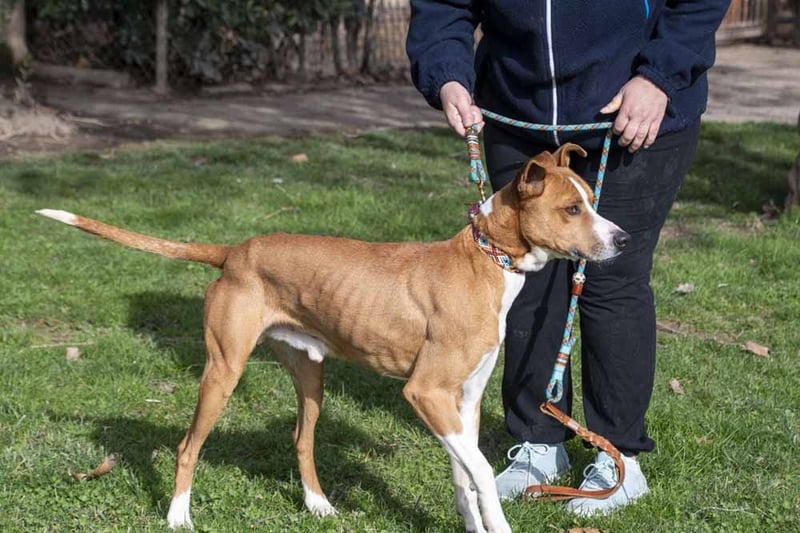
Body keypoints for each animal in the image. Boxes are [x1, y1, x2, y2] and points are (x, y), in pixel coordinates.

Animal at [37, 143, 629, 533]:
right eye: (571, 209)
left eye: (591, 201)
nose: (623, 240)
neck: (485, 262)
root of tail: (234, 251)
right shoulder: (426, 393)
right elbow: (481, 471)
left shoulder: (463, 401)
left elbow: (466, 476)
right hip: (223, 370)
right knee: (188, 447)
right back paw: (178, 515)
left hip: (310, 375)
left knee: (301, 440)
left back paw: (318, 505)